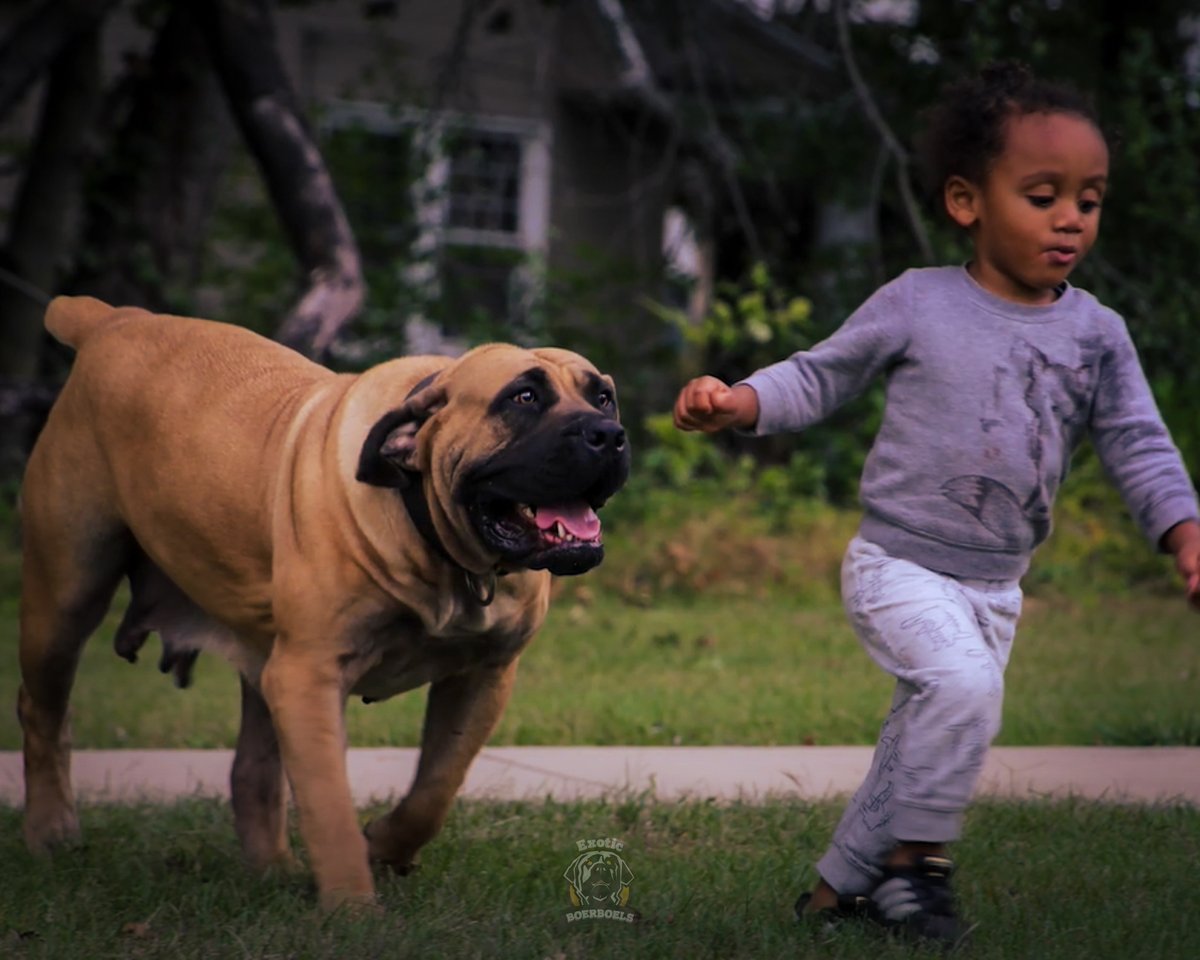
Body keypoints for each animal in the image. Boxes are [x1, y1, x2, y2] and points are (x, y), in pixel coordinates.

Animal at [18, 296, 633, 912]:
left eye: (603, 395)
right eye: (522, 398)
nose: (610, 434)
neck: (436, 539)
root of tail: (113, 318)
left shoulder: (483, 676)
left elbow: (436, 786)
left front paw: (385, 845)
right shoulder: (309, 676)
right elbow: (329, 804)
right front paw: (353, 908)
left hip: (264, 657)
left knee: (252, 770)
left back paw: (273, 869)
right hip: (67, 597)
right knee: (42, 712)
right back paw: (51, 833)